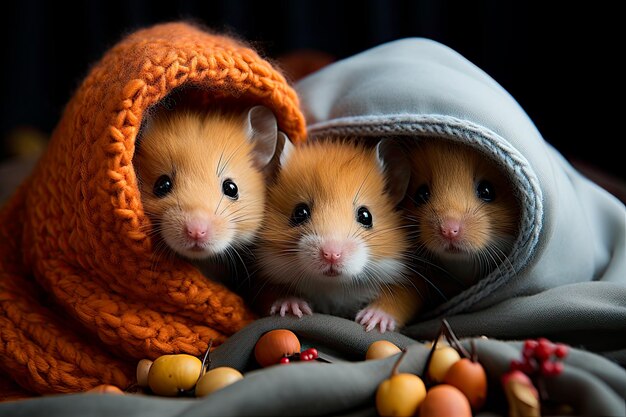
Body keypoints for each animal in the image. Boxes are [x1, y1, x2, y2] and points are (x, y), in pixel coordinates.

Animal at [251, 137, 422, 332]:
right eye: (299, 212)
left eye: (366, 216)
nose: (331, 255)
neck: (333, 285)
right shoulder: (261, 283)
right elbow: (274, 294)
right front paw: (293, 308)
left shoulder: (411, 285)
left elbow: (397, 300)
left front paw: (371, 322)